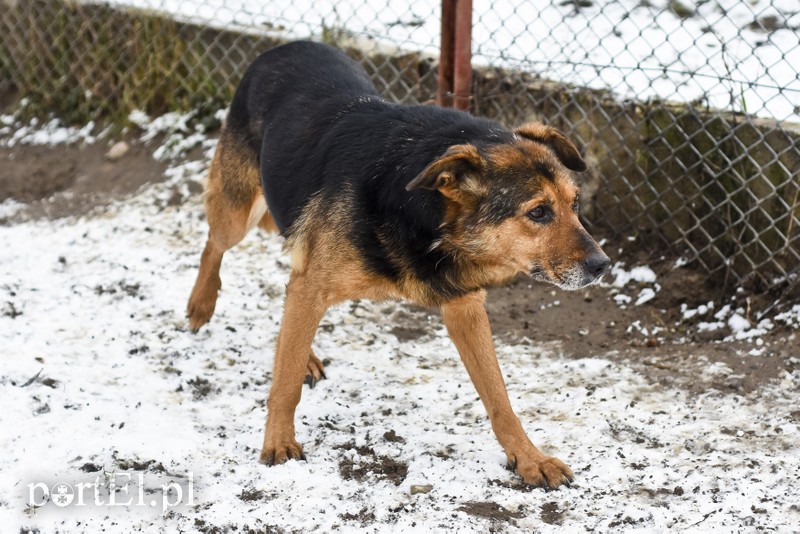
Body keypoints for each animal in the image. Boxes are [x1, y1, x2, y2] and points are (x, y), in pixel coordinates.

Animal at [188, 40, 608, 494]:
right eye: (538, 212)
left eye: (575, 204)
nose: (603, 265)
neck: (423, 216)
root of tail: (286, 45)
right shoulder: (314, 285)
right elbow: (283, 387)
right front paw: (278, 443)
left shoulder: (464, 306)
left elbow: (499, 396)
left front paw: (528, 457)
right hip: (238, 212)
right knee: (215, 244)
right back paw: (201, 303)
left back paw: (304, 356)